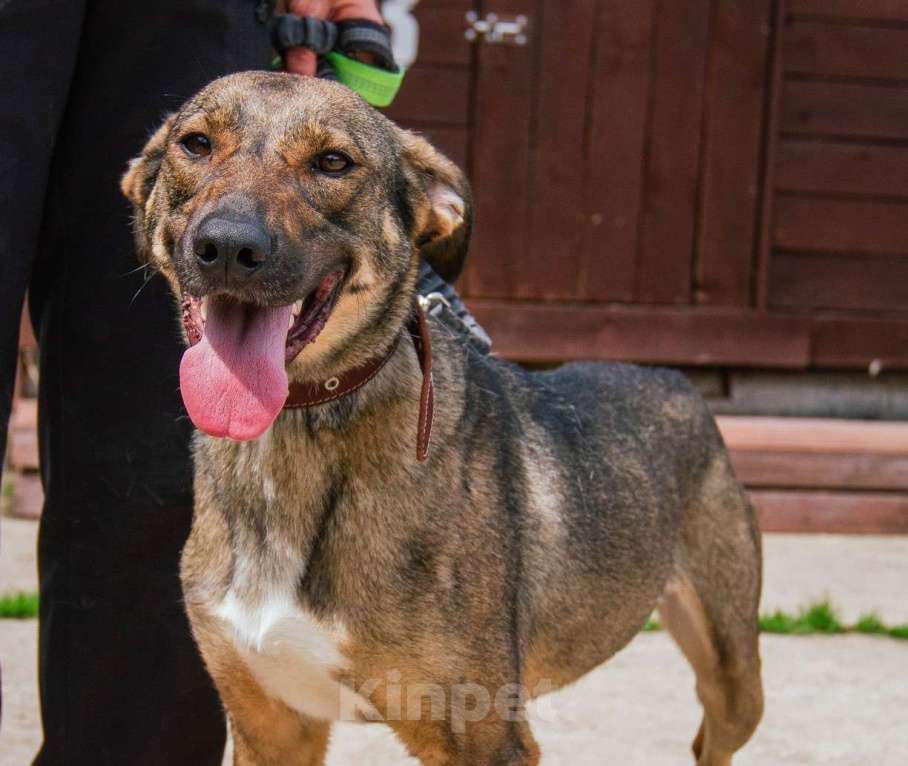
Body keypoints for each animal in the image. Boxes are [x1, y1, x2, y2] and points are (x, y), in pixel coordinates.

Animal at [119, 73, 760, 766]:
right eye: (195, 144)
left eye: (333, 162)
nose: (228, 247)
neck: (294, 435)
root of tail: (675, 378)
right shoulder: (270, 725)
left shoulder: (483, 736)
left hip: (734, 670)